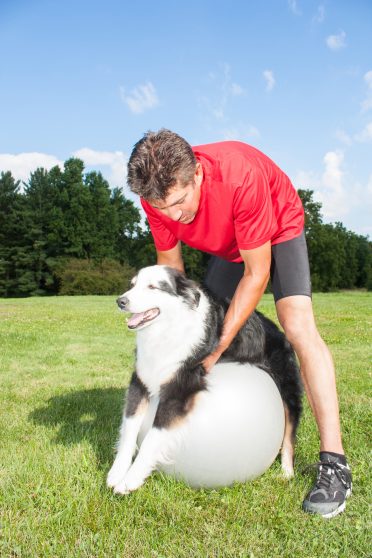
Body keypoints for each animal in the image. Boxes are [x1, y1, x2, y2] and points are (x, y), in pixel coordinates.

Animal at [105, 266, 302, 494]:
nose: (120, 301)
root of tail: (277, 330)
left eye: (153, 286)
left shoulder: (179, 391)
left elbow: (152, 439)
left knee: (289, 433)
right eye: (132, 285)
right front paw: (116, 473)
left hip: (288, 390)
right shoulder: (140, 381)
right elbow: (129, 430)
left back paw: (286, 472)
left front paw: (131, 480)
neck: (167, 330)